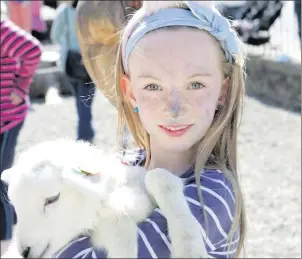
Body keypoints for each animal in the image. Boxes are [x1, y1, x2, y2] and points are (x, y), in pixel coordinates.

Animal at [1, 140, 210, 259]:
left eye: (52, 199)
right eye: (17, 208)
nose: (24, 252)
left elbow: (160, 177)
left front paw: (192, 250)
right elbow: (119, 224)